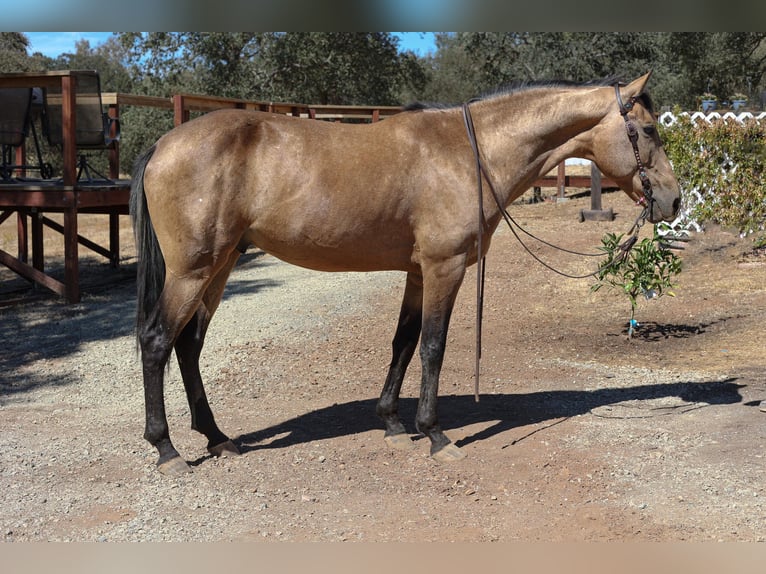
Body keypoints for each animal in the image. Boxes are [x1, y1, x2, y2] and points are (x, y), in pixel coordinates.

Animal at [130, 72, 681, 474]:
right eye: (650, 130)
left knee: (188, 346)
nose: (674, 201)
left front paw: (393, 424)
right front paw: (435, 433)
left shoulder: (418, 273)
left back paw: (217, 438)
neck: (471, 151)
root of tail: (162, 145)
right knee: (157, 341)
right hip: (192, 271)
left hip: (219, 268)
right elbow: (433, 345)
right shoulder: (444, 268)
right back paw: (167, 449)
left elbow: (404, 342)